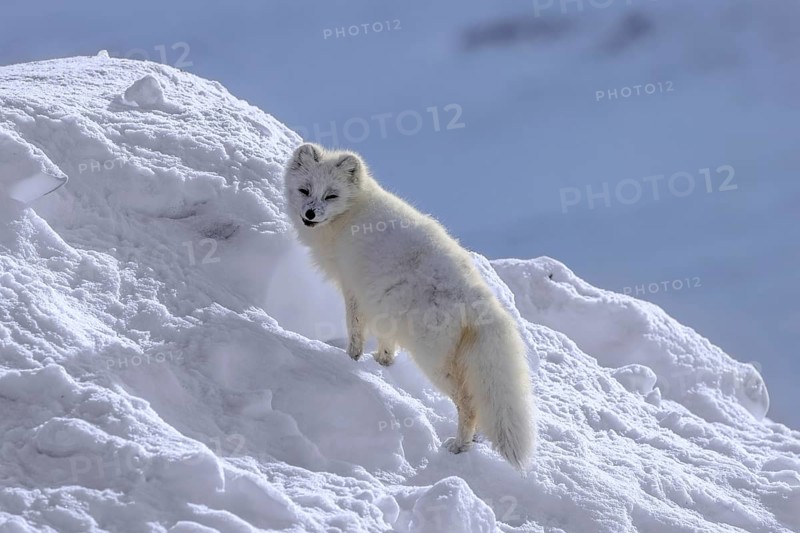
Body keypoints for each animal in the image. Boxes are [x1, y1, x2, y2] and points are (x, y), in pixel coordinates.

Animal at [283, 143, 536, 469]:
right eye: (305, 190)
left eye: (331, 195)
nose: (310, 213)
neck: (351, 214)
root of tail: (479, 300)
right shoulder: (381, 301)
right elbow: (386, 340)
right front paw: (382, 362)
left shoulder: (354, 289)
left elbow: (355, 330)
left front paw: (350, 359)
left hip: (433, 362)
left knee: (468, 404)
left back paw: (459, 446)